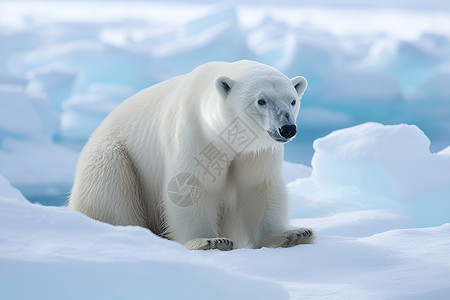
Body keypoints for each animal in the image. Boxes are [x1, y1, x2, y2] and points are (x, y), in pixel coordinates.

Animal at [69, 59, 312, 250]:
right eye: (261, 100)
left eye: (292, 100)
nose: (287, 128)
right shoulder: (193, 131)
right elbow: (189, 185)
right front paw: (210, 241)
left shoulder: (256, 151)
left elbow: (259, 186)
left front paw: (292, 235)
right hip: (111, 156)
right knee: (111, 183)